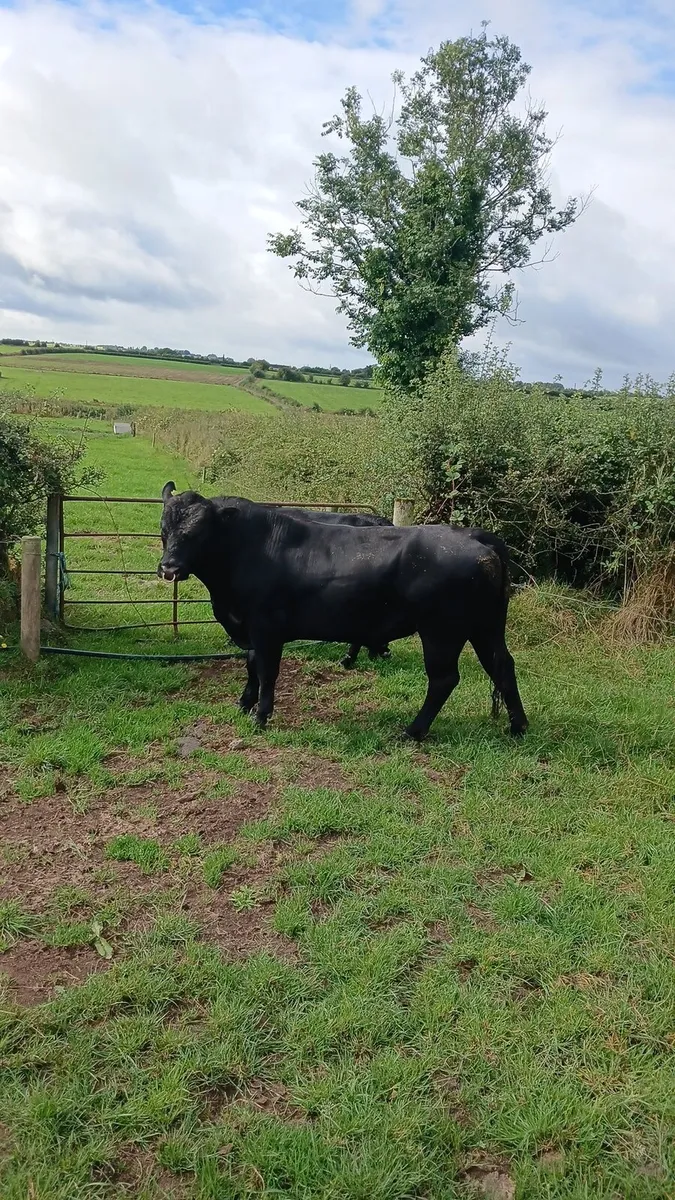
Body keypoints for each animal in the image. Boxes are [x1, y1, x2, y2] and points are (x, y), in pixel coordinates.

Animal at [158, 483, 528, 742]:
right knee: (502, 666)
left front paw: (261, 715)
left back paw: (413, 730)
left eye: (199, 531)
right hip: (486, 627)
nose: (169, 568)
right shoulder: (250, 628)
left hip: (442, 632)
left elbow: (266, 672)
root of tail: (475, 536)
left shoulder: (266, 629)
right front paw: (244, 703)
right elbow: (251, 666)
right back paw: (518, 727)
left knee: (444, 679)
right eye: (163, 529)